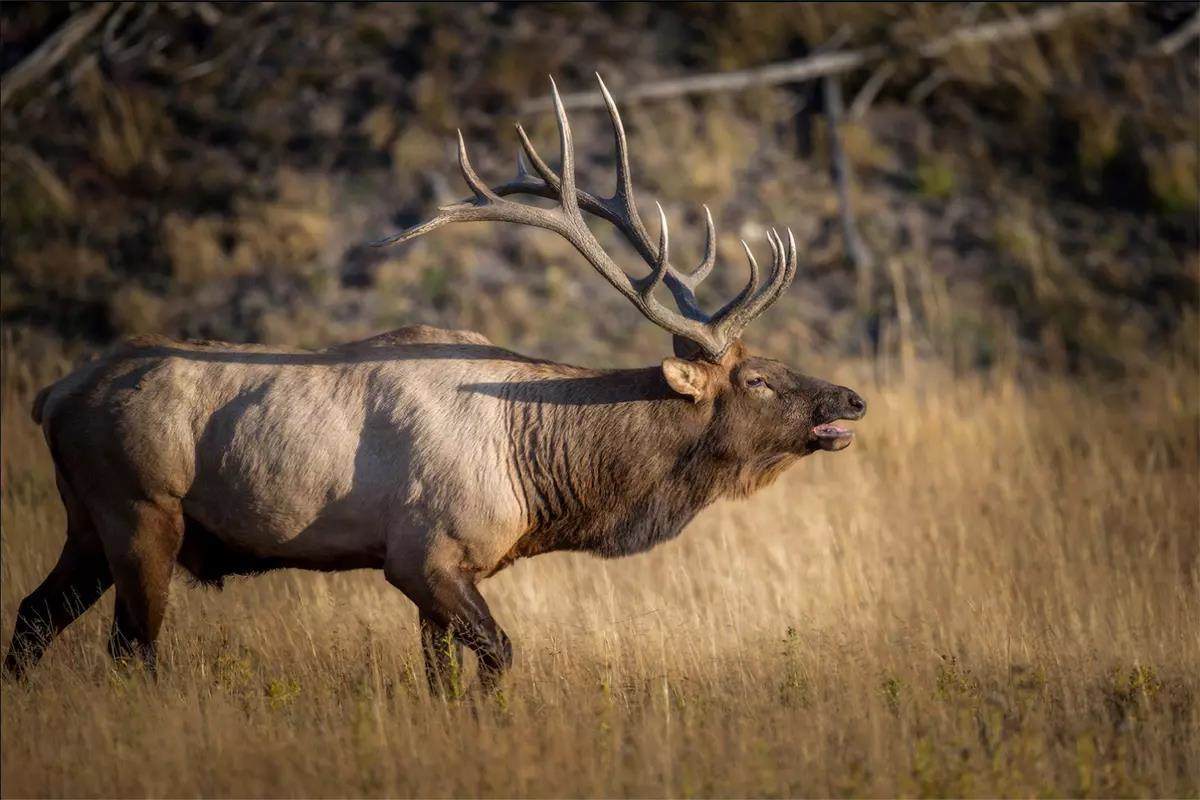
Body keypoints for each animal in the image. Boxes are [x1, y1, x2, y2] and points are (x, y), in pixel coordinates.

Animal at [0, 74, 864, 690]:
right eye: (757, 379)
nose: (849, 397)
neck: (544, 473)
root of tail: (54, 395)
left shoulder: (442, 570)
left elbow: (442, 681)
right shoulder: (424, 553)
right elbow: (501, 656)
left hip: (86, 522)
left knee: (33, 618)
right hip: (140, 510)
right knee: (130, 651)